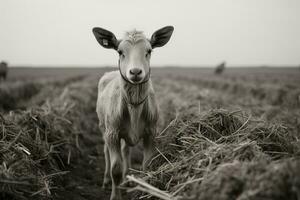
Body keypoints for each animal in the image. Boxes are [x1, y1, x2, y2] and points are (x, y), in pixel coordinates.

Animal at [92, 26, 175, 200]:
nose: (135, 72)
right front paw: (115, 195)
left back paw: (127, 179)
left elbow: (147, 166)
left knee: (126, 150)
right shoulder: (112, 133)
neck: (134, 108)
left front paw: (144, 191)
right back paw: (106, 180)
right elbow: (115, 169)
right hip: (103, 126)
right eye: (120, 52)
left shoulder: (151, 132)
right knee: (106, 151)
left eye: (149, 51)